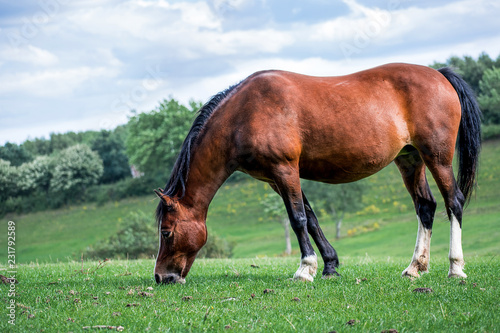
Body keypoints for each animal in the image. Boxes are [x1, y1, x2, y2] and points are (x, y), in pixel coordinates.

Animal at [153, 63, 480, 282]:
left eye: (166, 232)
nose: (160, 277)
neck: (245, 113)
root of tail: (439, 74)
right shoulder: (276, 179)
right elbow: (310, 217)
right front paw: (330, 265)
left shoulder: (285, 169)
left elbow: (297, 219)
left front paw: (305, 268)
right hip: (410, 160)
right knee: (426, 207)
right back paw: (415, 267)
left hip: (437, 158)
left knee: (454, 202)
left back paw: (455, 267)